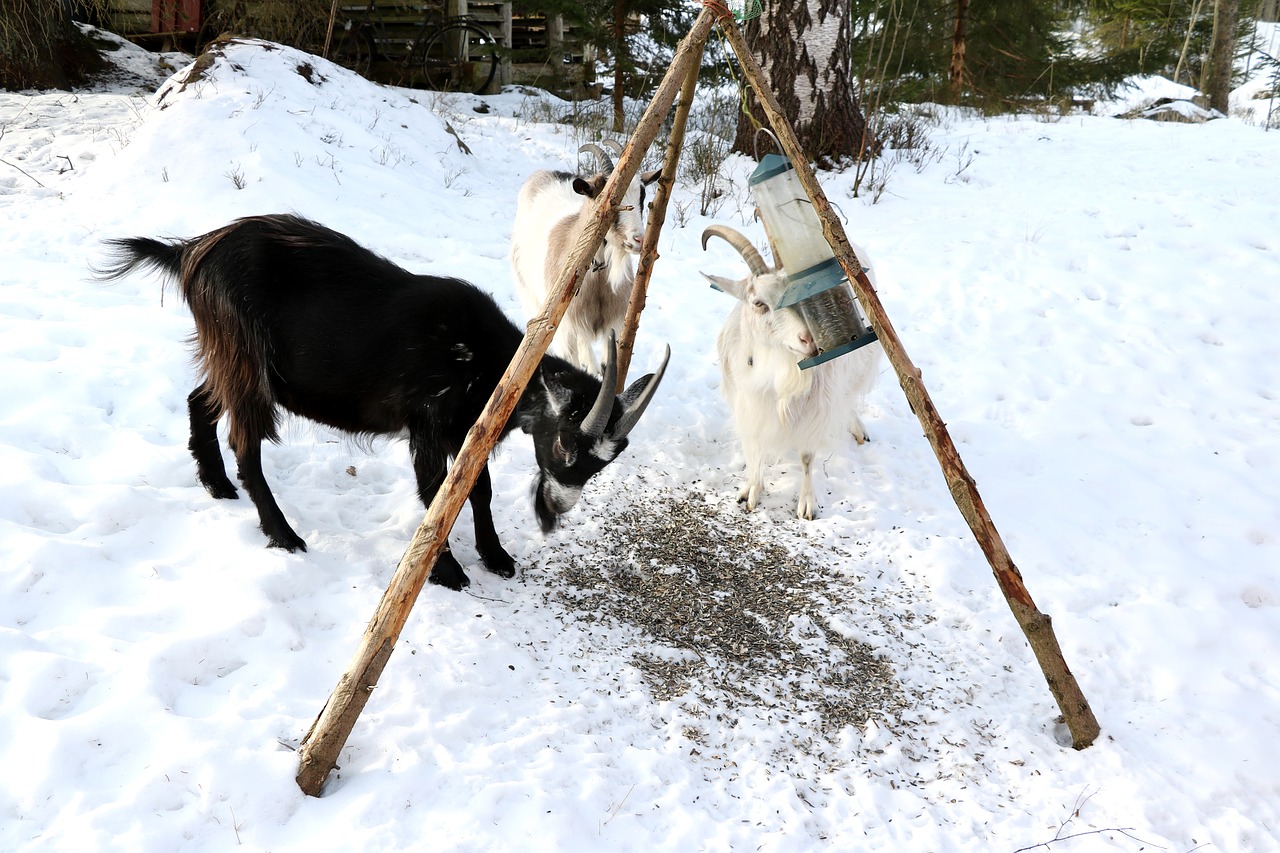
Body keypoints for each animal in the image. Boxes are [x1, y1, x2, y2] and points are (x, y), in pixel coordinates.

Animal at [94, 212, 670, 589]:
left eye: (604, 464)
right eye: (569, 444)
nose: (558, 510)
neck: (489, 361)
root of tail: (191, 251)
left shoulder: (468, 431)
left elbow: (476, 491)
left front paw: (497, 556)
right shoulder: (427, 424)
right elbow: (435, 493)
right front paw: (447, 571)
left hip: (228, 361)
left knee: (199, 400)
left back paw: (215, 485)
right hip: (244, 358)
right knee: (245, 444)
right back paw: (283, 534)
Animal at [506, 139, 660, 371]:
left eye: (642, 196)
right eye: (608, 197)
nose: (639, 240)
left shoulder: (614, 325)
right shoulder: (567, 328)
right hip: (531, 298)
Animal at [701, 222, 880, 517]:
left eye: (798, 298)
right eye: (759, 303)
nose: (807, 339)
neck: (775, 366)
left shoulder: (816, 408)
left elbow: (807, 456)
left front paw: (807, 504)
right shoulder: (747, 403)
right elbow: (754, 446)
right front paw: (752, 489)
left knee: (849, 397)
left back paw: (858, 429)